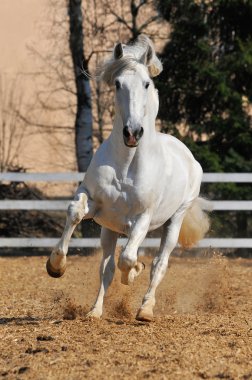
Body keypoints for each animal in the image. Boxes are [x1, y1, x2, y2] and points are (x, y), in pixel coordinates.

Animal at [46, 35, 210, 320]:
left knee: (158, 264)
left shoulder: (142, 218)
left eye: (146, 83)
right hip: (109, 229)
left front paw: (134, 274)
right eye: (118, 83)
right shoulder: (93, 202)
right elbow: (74, 213)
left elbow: (129, 258)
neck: (126, 167)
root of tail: (189, 156)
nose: (132, 132)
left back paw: (145, 309)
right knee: (107, 267)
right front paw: (56, 266)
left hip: (174, 220)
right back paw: (95, 311)